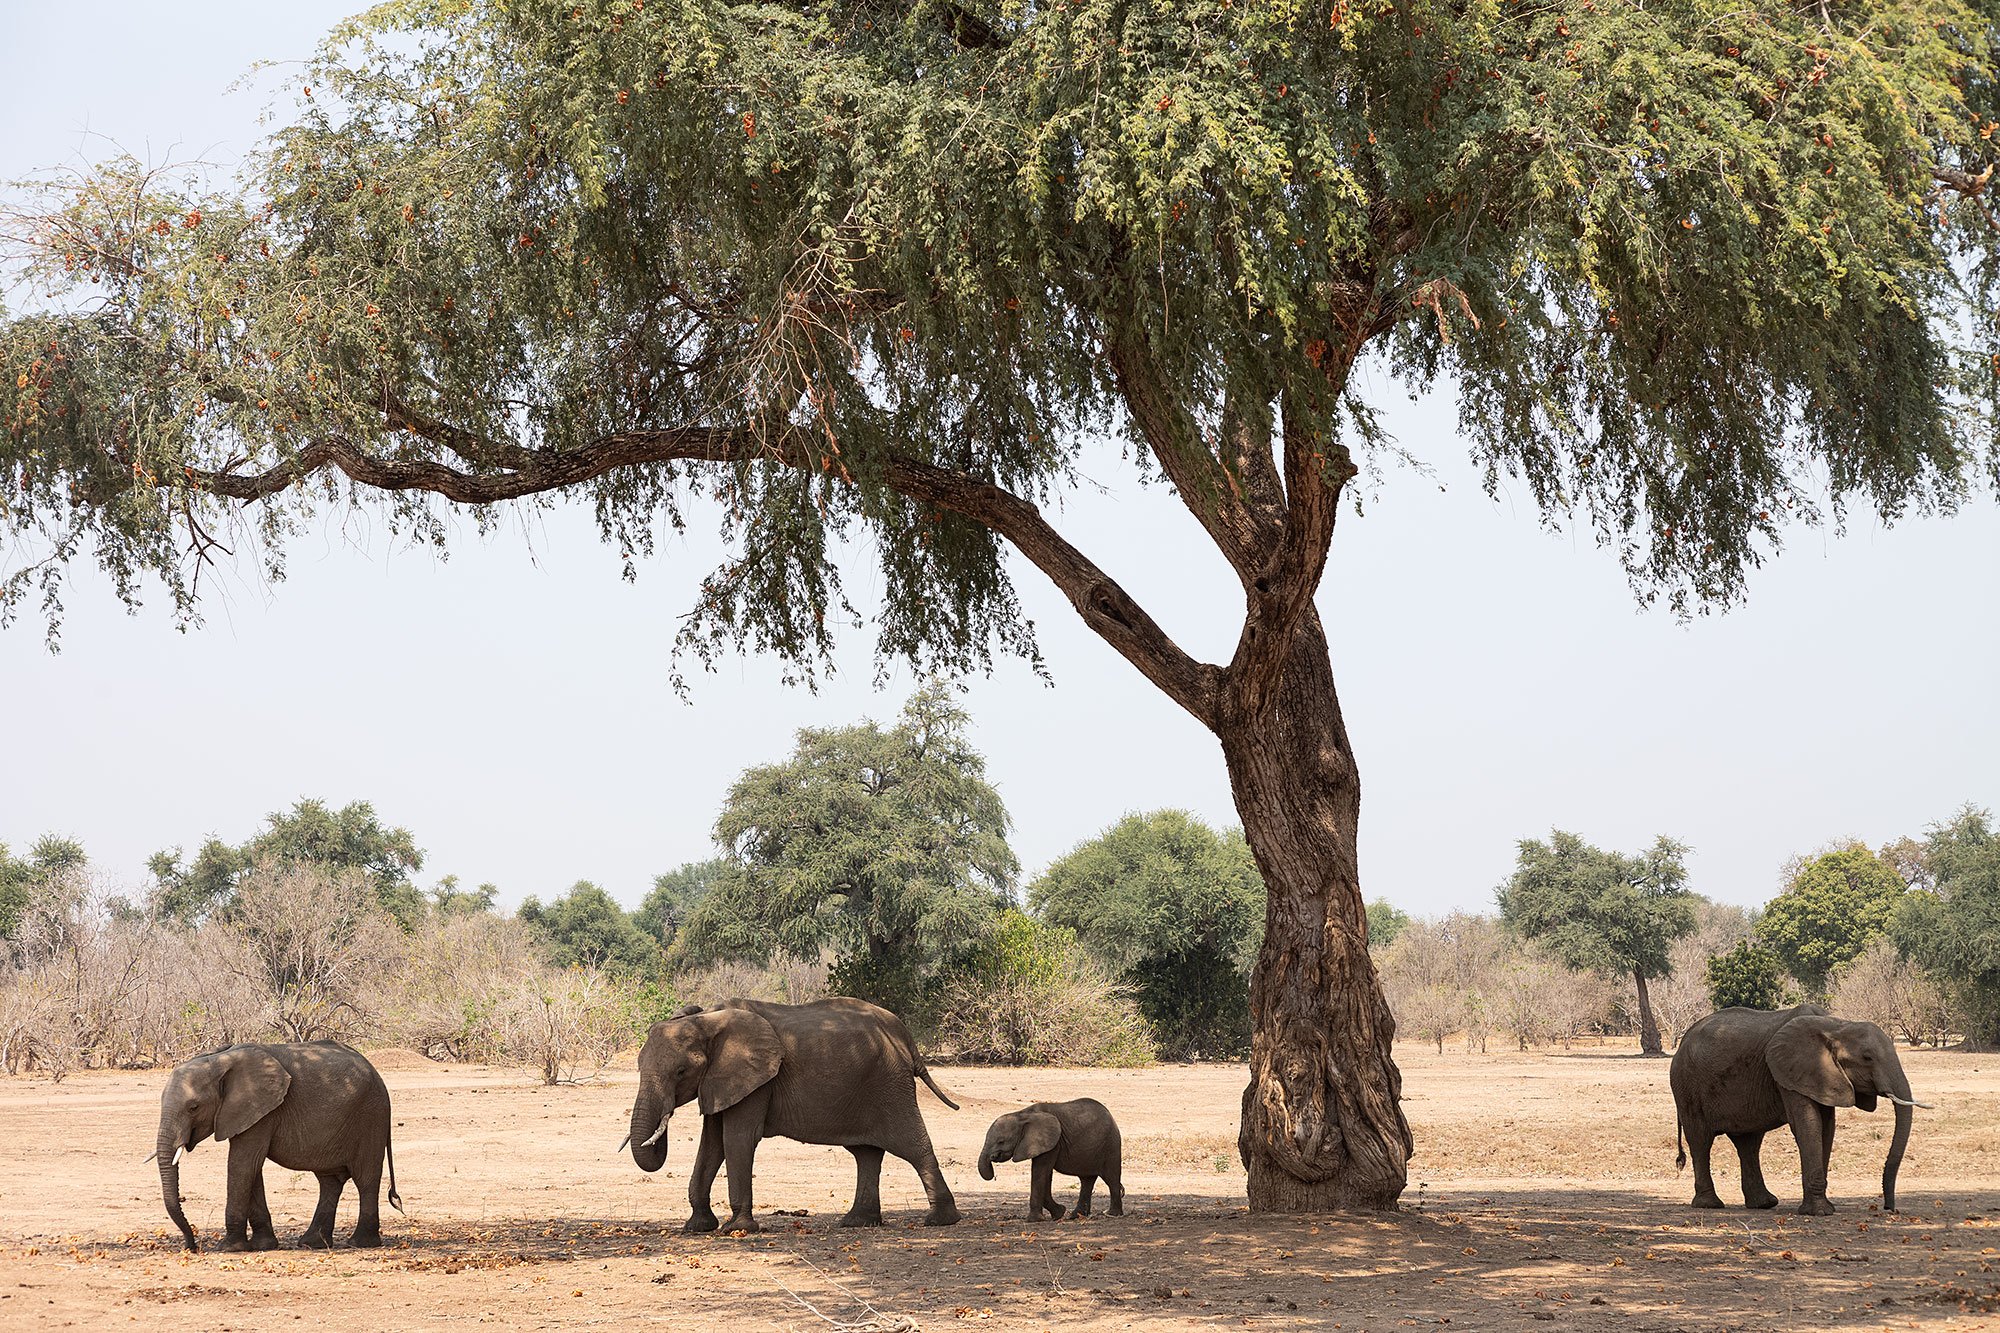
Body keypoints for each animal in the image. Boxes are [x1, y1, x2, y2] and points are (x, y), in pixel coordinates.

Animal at [152, 1041, 402, 1252]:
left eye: (193, 1107)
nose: (191, 1247)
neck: (219, 1060)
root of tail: (378, 1075)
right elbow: (252, 1169)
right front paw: (263, 1245)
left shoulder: (263, 1111)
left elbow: (242, 1165)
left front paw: (228, 1248)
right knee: (329, 1181)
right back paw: (312, 1243)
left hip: (371, 1117)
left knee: (365, 1178)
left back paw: (360, 1243)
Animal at [624, 997, 960, 1233]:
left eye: (681, 1071)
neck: (708, 1019)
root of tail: (901, 1033)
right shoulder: (721, 1081)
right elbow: (712, 1145)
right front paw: (697, 1227)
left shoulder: (756, 1081)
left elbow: (737, 1139)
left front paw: (737, 1229)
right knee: (866, 1154)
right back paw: (857, 1222)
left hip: (890, 1084)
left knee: (913, 1146)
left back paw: (941, 1220)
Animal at [977, 1097, 1124, 1221]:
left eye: (1001, 1142)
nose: (993, 1158)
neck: (1022, 1115)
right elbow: (1046, 1175)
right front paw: (1059, 1213)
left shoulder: (1052, 1142)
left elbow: (1040, 1172)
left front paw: (1034, 1220)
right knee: (1087, 1180)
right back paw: (1075, 1216)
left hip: (1111, 1145)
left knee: (1110, 1178)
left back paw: (1112, 1214)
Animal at [1670, 1004, 1928, 1215]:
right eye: (1867, 1058)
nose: (1888, 1207)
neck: (1836, 1026)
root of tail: (1683, 1039)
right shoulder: (1790, 1073)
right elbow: (1808, 1124)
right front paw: (1819, 1212)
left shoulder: (1822, 1076)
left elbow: (1827, 1127)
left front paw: (1825, 1207)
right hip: (1687, 1086)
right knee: (1701, 1140)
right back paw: (1710, 1205)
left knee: (1749, 1143)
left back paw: (1764, 1204)